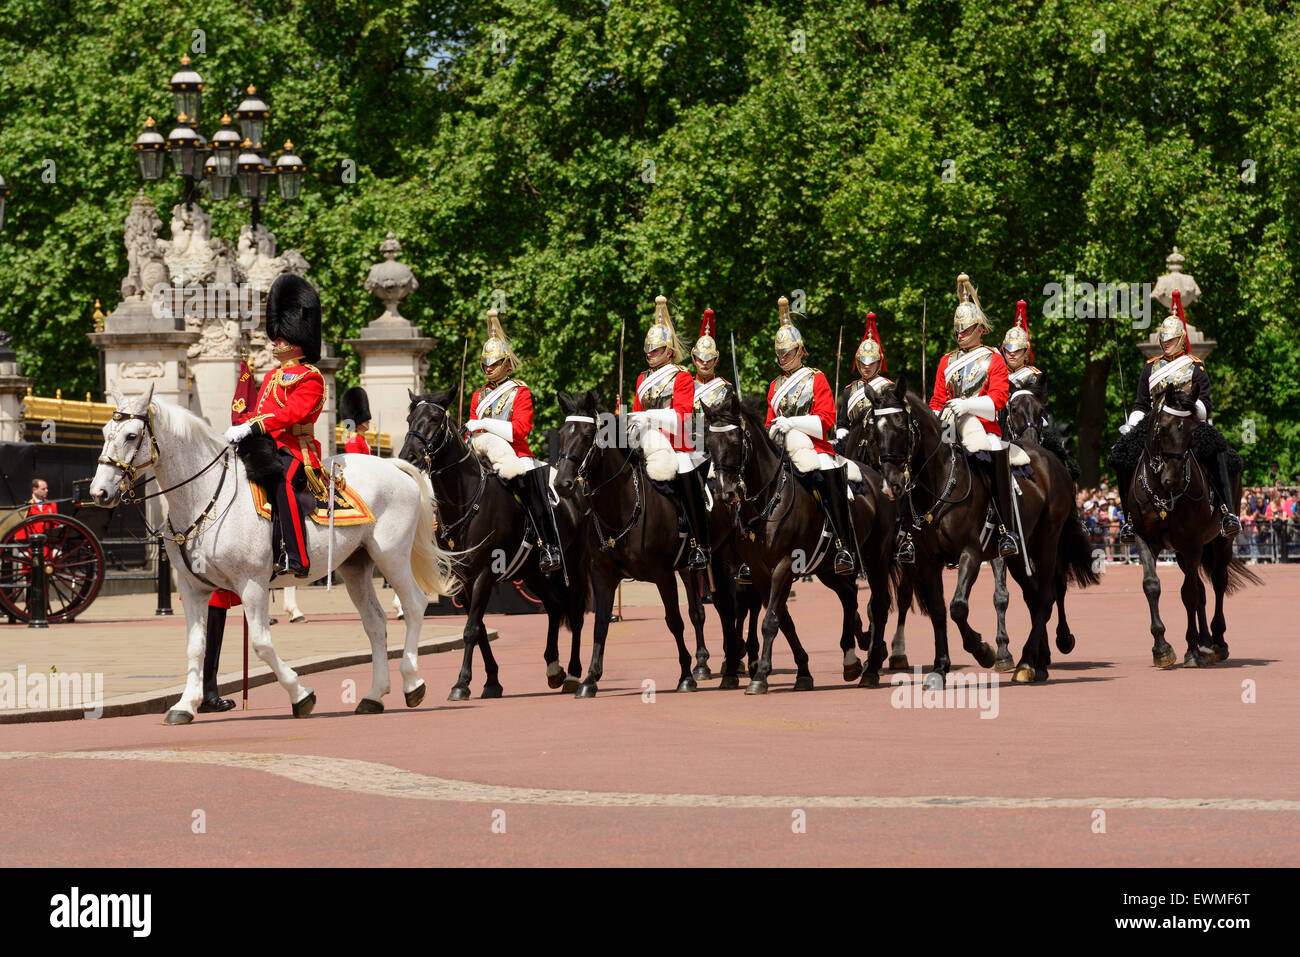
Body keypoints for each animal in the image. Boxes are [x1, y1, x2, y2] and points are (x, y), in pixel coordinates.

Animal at [90, 384, 462, 722]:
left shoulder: (251, 583)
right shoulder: (193, 587)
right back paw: (373, 695)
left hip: (391, 556)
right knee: (375, 622)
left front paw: (301, 695)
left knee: (415, 604)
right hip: (356, 565)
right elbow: (196, 646)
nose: (99, 492)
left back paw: (412, 683)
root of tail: (395, 465)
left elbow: (261, 644)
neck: (204, 497)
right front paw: (184, 705)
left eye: (131, 435)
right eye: (105, 433)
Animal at [397, 392, 587, 696]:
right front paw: (491, 681)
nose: (409, 456)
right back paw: (553, 667)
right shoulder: (461, 578)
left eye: (435, 419)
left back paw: (573, 673)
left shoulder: (485, 574)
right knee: (555, 605)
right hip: (532, 572)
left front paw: (461, 683)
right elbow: (479, 627)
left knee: (576, 613)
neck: (465, 500)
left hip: (576, 565)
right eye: (409, 418)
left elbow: (471, 629)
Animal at [863, 377, 1097, 686]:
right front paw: (940, 667)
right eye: (873, 431)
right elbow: (938, 609)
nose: (891, 485)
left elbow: (958, 606)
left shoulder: (971, 553)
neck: (939, 481)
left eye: (901, 424)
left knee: (1047, 596)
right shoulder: (926, 561)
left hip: (1046, 542)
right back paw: (1038, 663)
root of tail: (1052, 460)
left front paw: (983, 651)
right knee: (1034, 596)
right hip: (1018, 553)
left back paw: (1027, 661)